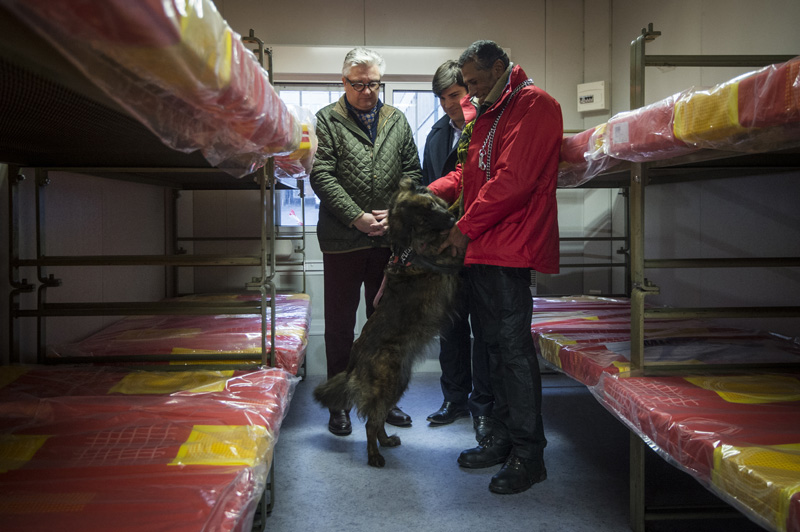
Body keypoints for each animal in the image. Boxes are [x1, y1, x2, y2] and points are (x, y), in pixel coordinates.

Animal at [312, 178, 462, 466]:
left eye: (433, 205)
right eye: (425, 216)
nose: (450, 219)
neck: (409, 247)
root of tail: (354, 360)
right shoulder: (445, 253)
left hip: (397, 382)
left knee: (378, 417)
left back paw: (386, 441)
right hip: (389, 381)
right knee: (371, 422)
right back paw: (374, 455)